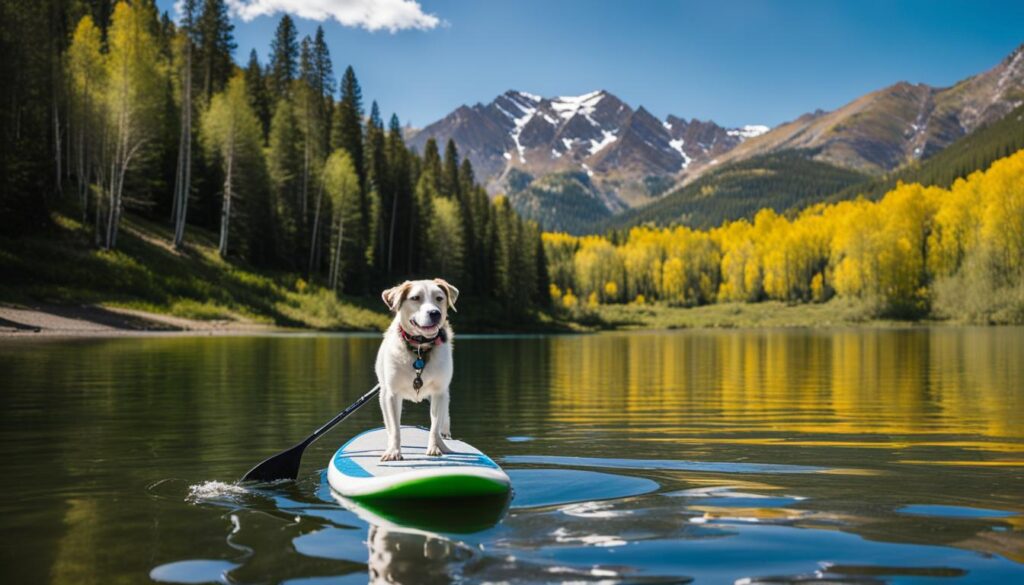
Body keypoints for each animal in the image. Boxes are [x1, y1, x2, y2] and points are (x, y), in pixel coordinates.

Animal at [374, 278, 458, 463]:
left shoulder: (439, 393)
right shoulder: (392, 394)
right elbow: (395, 428)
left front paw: (434, 448)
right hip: (383, 395)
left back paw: (443, 444)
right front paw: (394, 451)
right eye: (415, 298)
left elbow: (434, 426)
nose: (435, 313)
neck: (420, 348)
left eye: (439, 298)